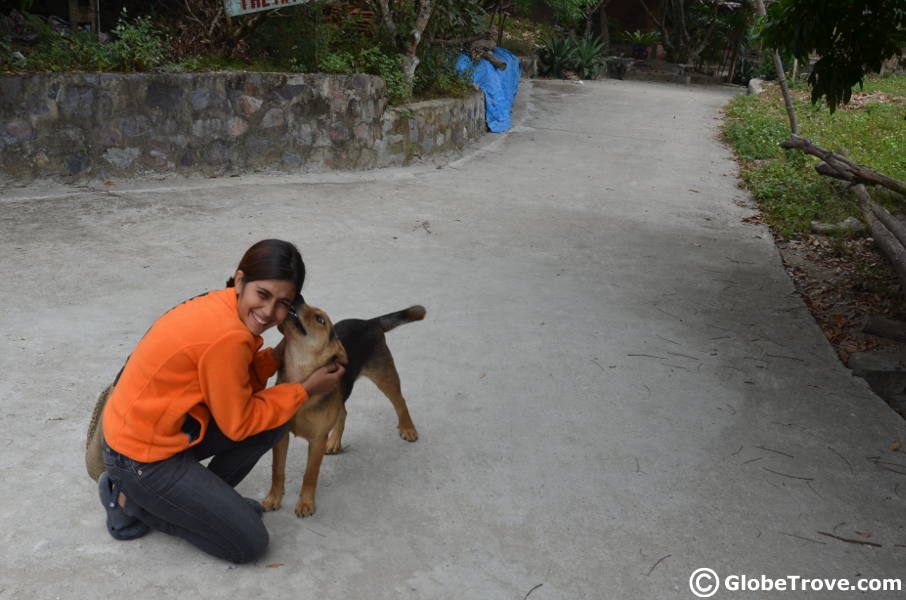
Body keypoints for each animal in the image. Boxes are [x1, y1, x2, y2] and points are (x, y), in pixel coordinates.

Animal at [264, 300, 426, 516]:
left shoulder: (317, 440)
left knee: (400, 402)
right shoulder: (281, 437)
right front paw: (273, 498)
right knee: (344, 412)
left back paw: (408, 428)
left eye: (320, 320)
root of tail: (369, 322)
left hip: (385, 377)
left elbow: (309, 475)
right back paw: (334, 442)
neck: (301, 378)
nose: (298, 297)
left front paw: (306, 503)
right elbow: (277, 470)